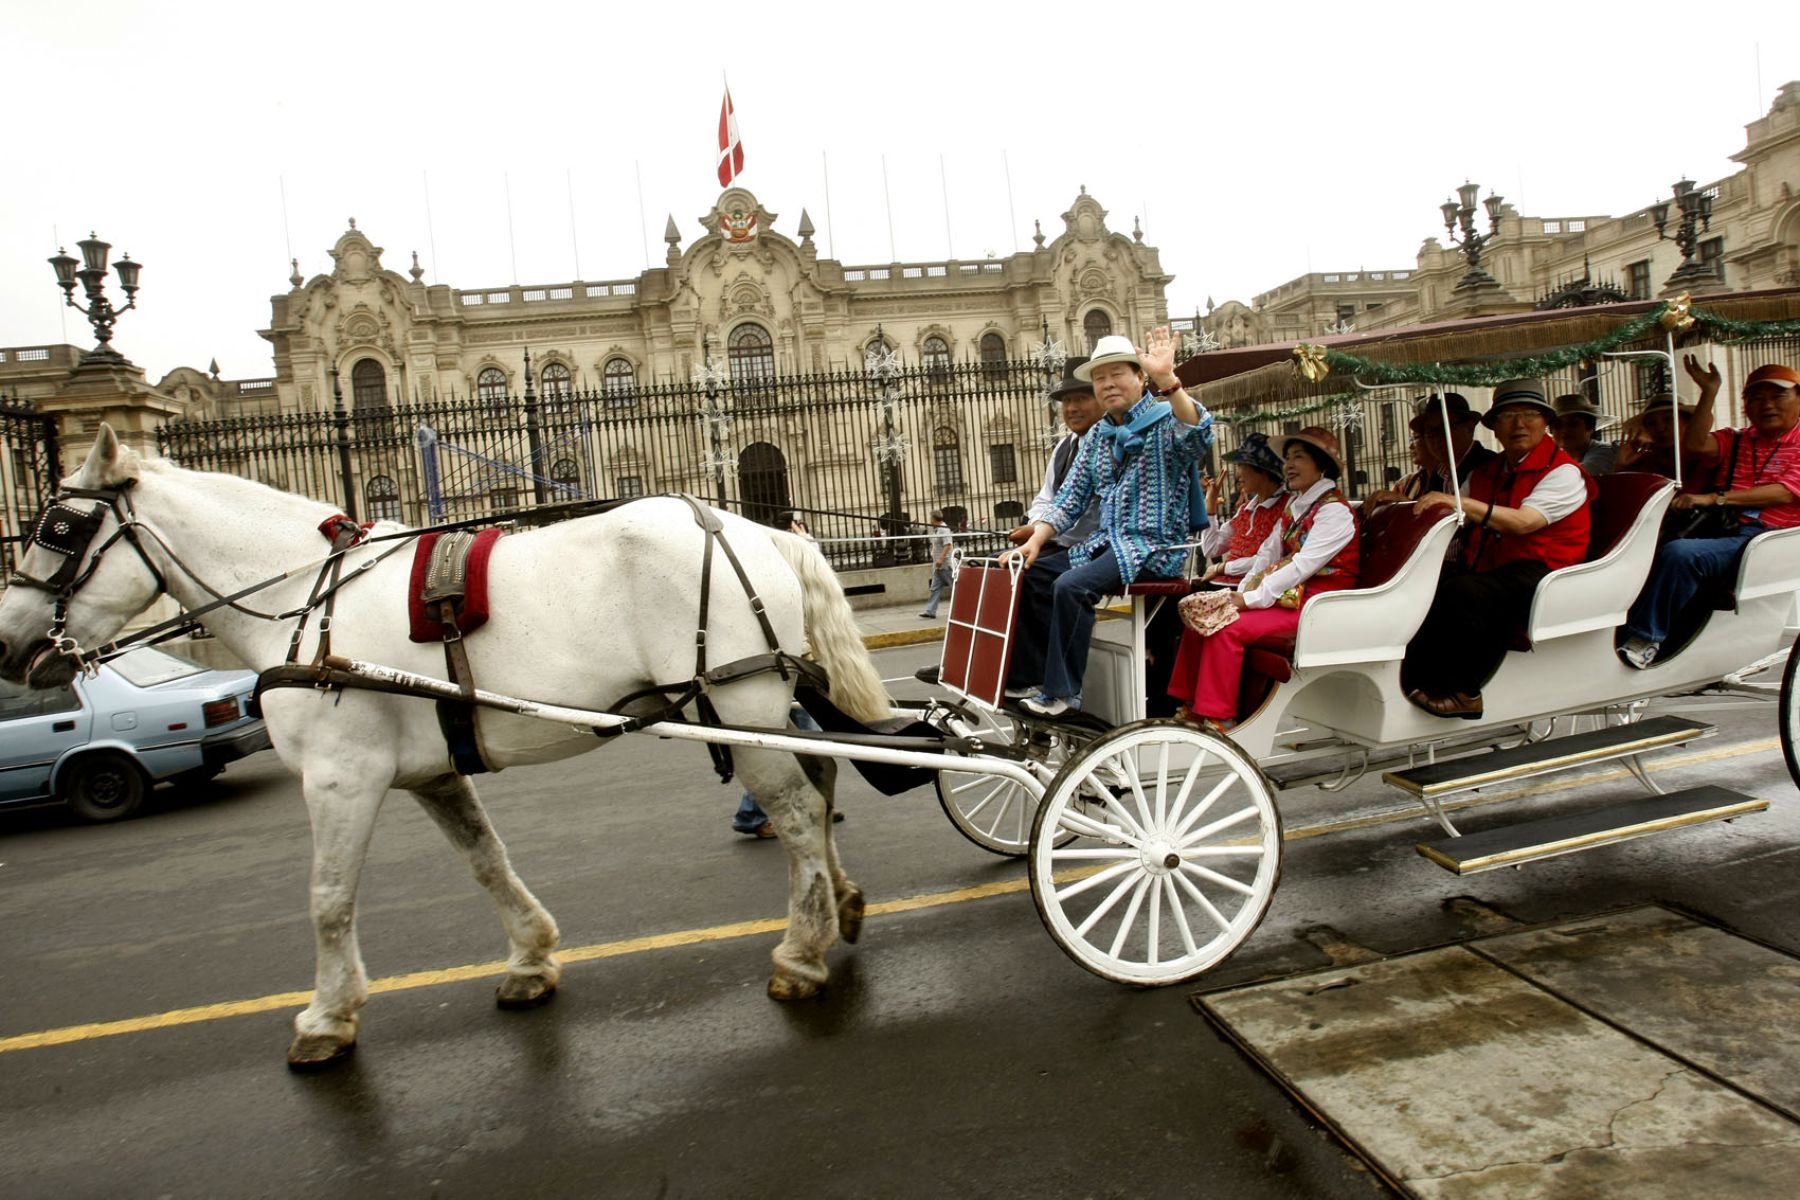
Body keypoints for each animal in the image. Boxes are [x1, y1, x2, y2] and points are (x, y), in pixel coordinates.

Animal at [0, 429, 892, 1072]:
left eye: (58, 528)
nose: (10, 646)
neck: (306, 598)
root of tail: (754, 528)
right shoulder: (429, 772)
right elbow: (486, 860)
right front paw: (530, 957)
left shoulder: (341, 775)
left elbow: (328, 897)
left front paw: (328, 1015)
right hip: (756, 704)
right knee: (818, 780)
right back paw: (841, 905)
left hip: (737, 697)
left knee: (798, 812)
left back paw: (801, 952)